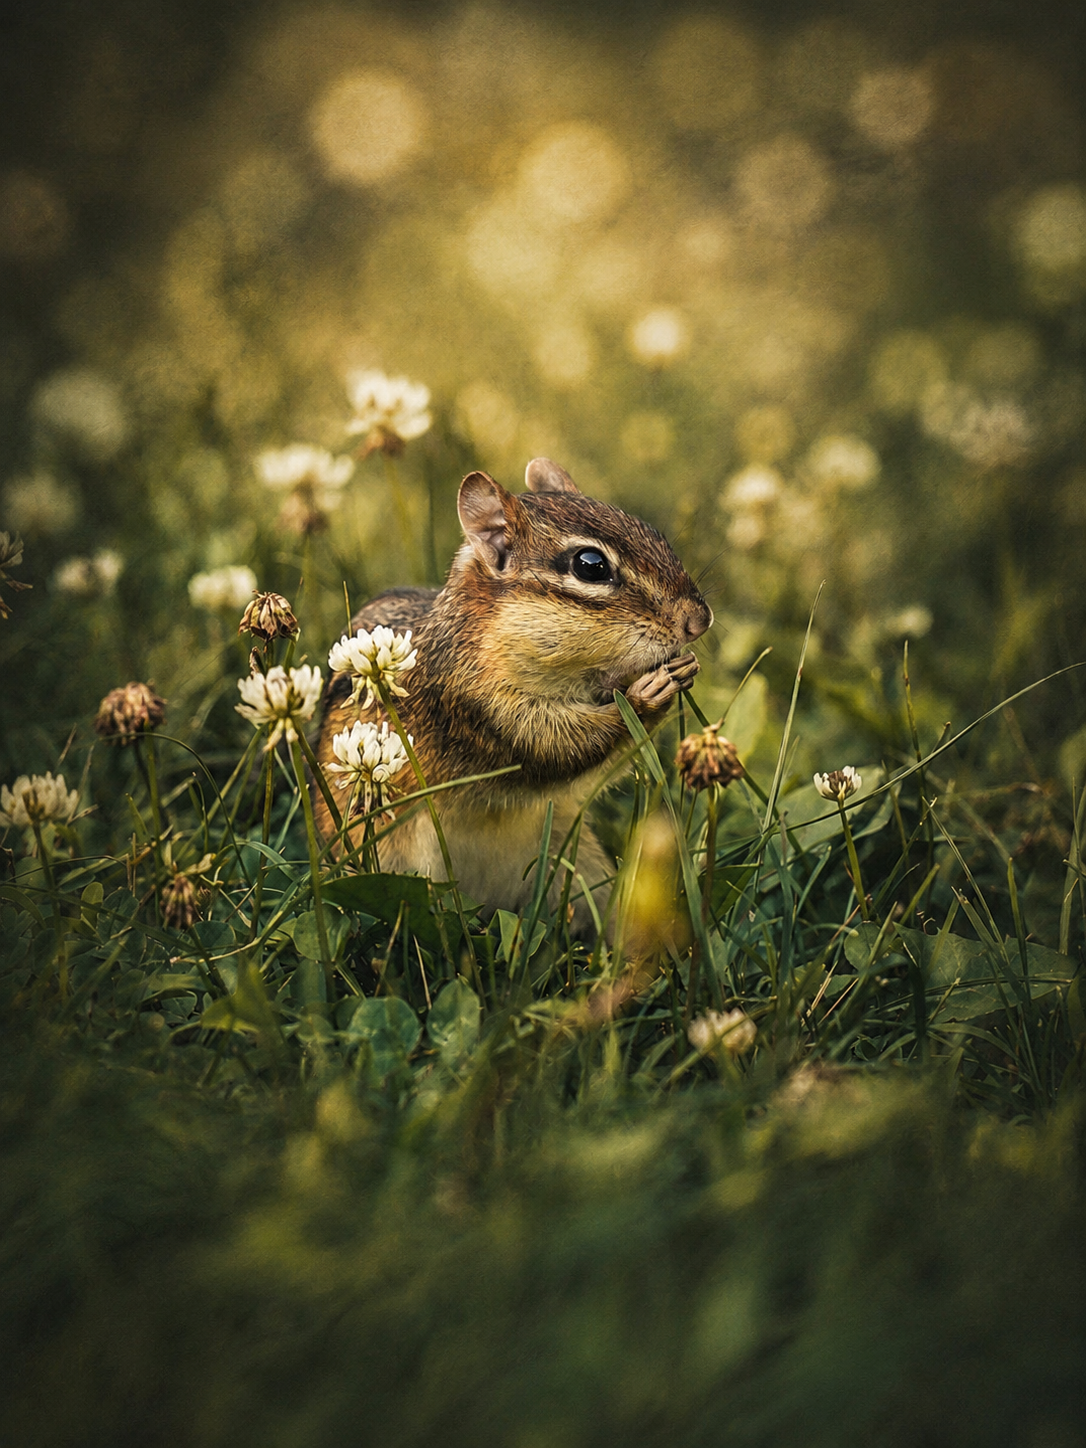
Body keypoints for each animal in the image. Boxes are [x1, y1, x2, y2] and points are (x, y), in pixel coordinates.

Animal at [315, 457, 712, 931]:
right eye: (591, 565)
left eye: (654, 533)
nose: (699, 620)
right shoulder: (475, 705)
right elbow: (556, 747)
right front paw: (647, 694)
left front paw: (683, 670)